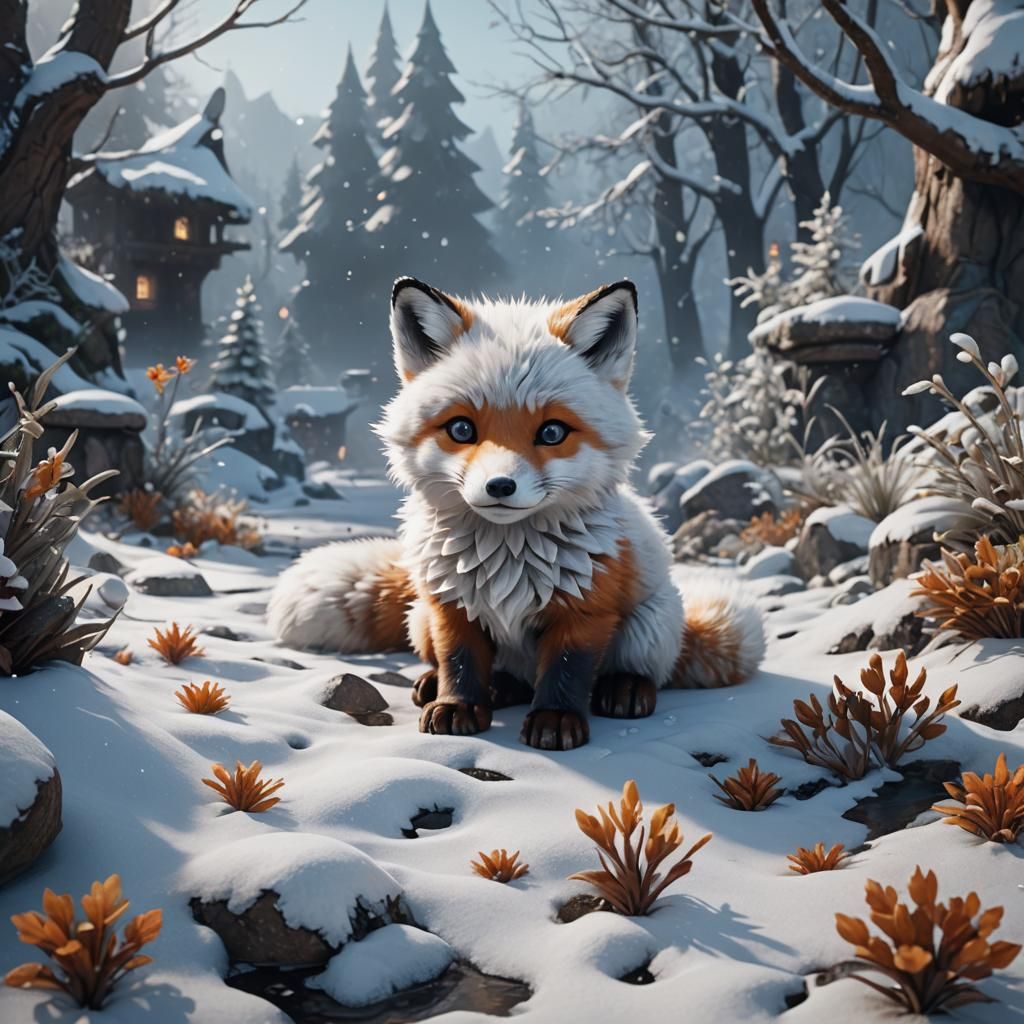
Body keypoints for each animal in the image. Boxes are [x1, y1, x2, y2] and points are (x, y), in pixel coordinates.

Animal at [268, 277, 764, 750]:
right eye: (461, 429)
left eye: (552, 432)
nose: (500, 486)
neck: (507, 558)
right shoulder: (451, 606)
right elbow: (460, 660)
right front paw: (457, 706)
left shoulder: (586, 608)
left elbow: (567, 670)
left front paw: (556, 721)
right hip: (422, 615)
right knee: (481, 671)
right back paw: (450, 686)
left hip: (652, 621)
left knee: (640, 670)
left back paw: (624, 688)